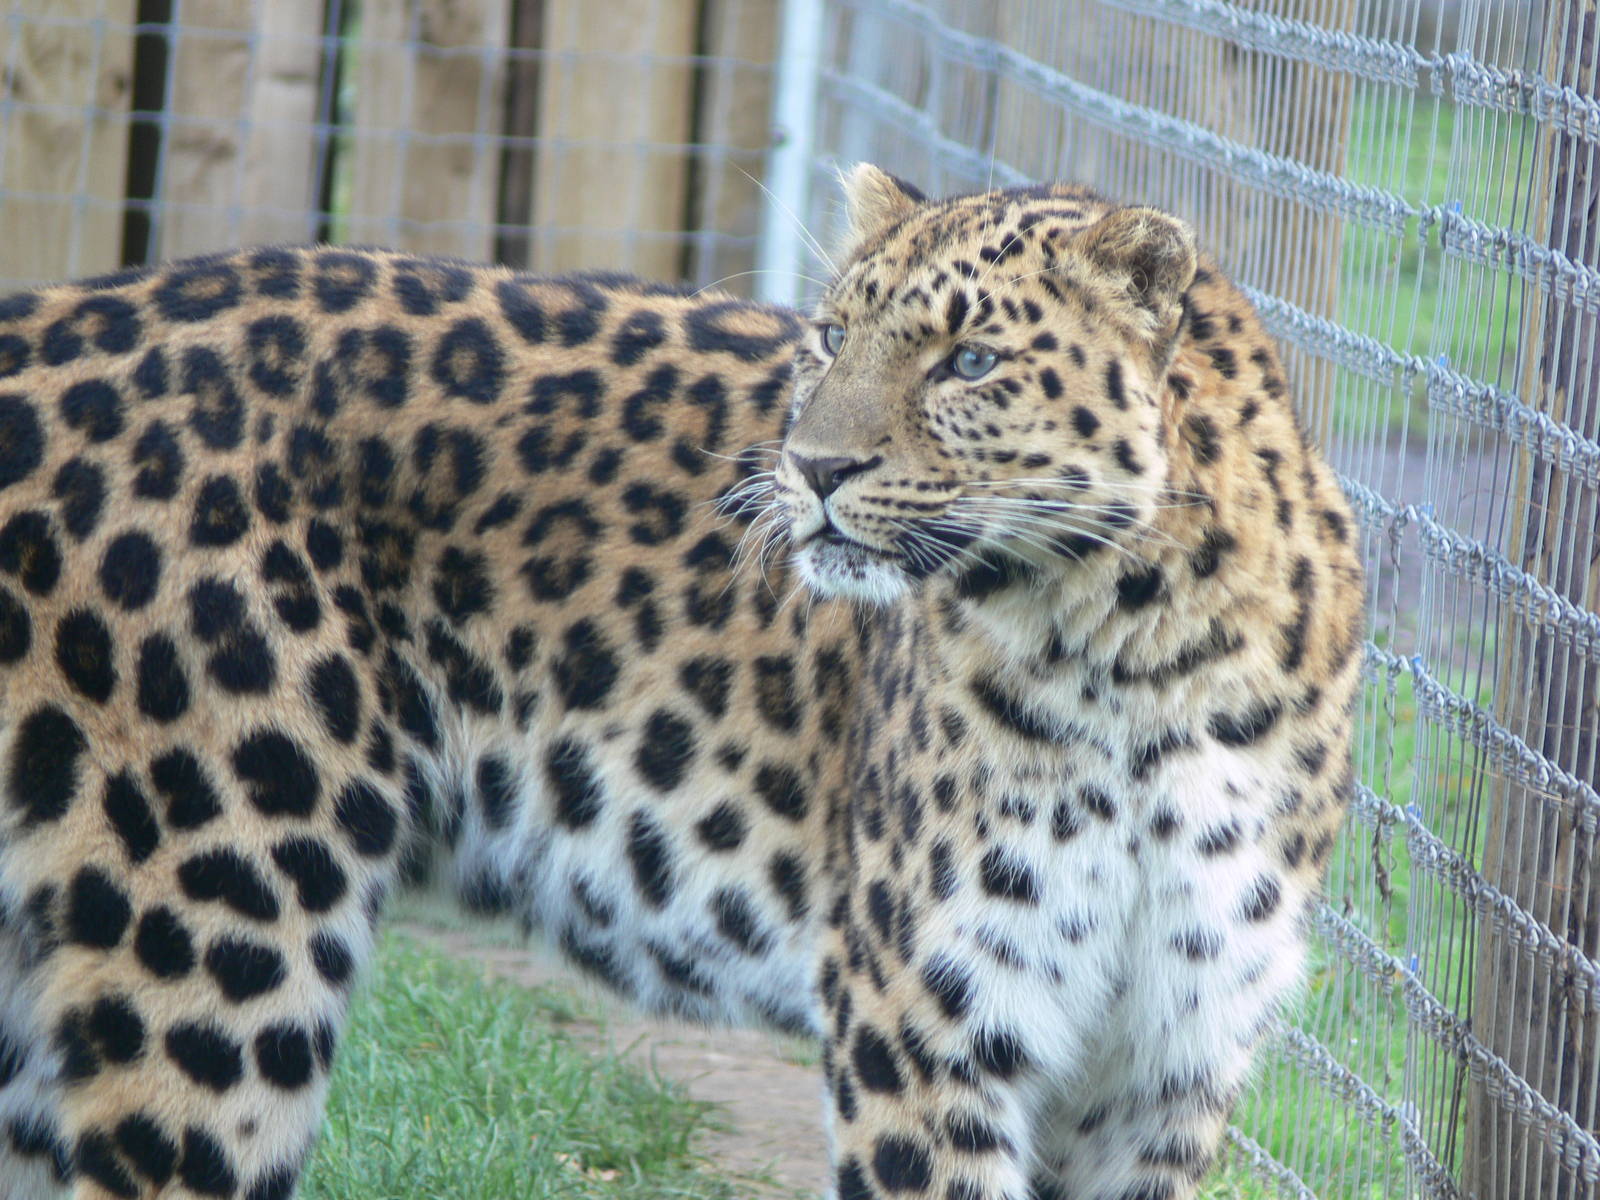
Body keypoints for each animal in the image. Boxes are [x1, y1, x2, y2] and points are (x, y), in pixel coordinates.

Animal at [0, 163, 1363, 1200]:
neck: (1142, 659)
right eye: (832, 336)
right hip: (219, 935)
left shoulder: (1162, 1071)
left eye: (971, 362)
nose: (809, 467)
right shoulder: (926, 1031)